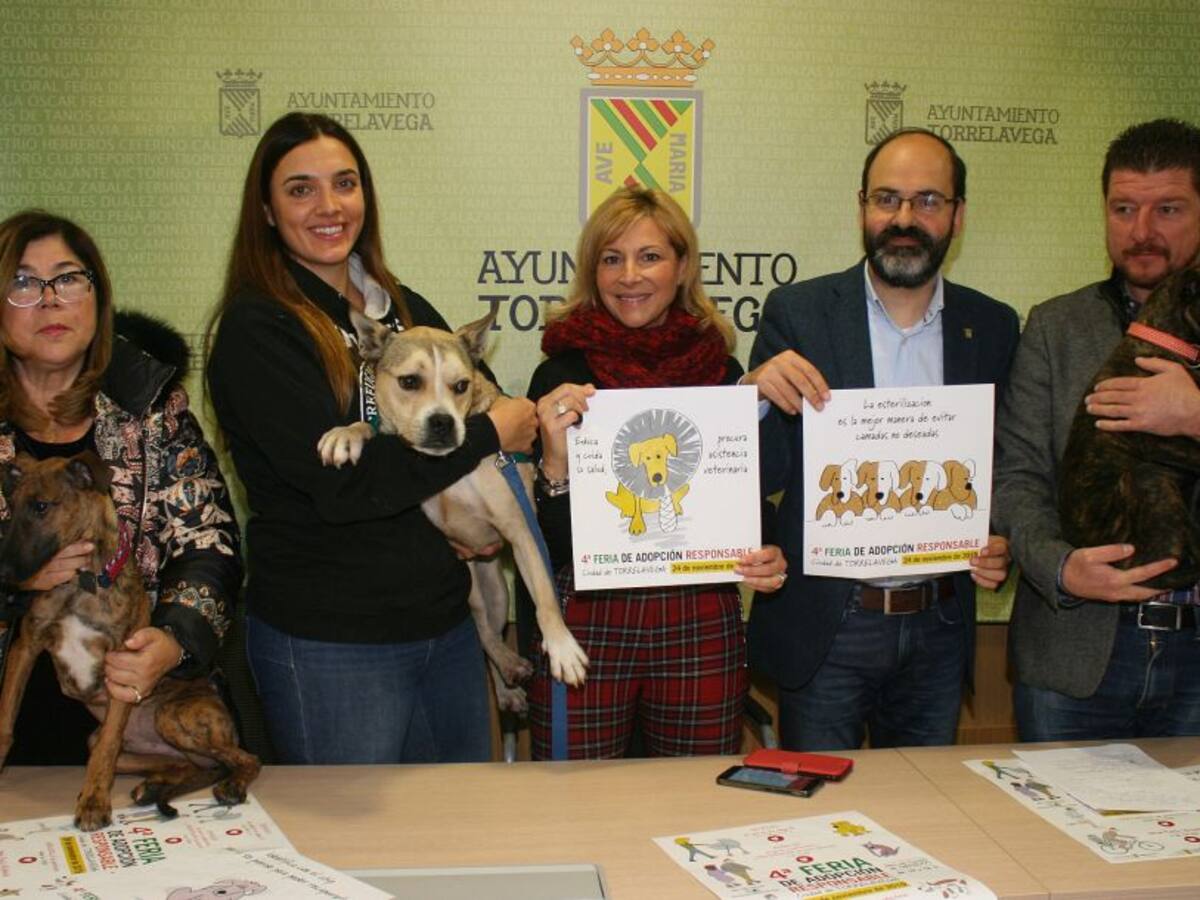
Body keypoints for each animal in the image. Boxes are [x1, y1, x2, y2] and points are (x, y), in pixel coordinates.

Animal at [0, 452, 260, 831]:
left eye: (41, 506)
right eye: (10, 505)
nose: (3, 576)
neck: (82, 581)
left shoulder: (125, 667)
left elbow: (107, 749)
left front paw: (94, 802)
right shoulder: (25, 647)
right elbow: (5, 720)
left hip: (173, 715)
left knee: (245, 758)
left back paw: (232, 785)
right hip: (127, 745)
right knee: (191, 764)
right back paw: (154, 787)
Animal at [317, 312, 588, 711]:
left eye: (462, 385)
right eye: (409, 382)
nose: (443, 422)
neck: (447, 466)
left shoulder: (522, 531)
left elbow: (545, 598)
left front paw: (562, 649)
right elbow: (372, 426)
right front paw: (346, 433)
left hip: (497, 594)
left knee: (489, 633)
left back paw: (509, 678)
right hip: (472, 588)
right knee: (483, 632)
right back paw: (509, 671)